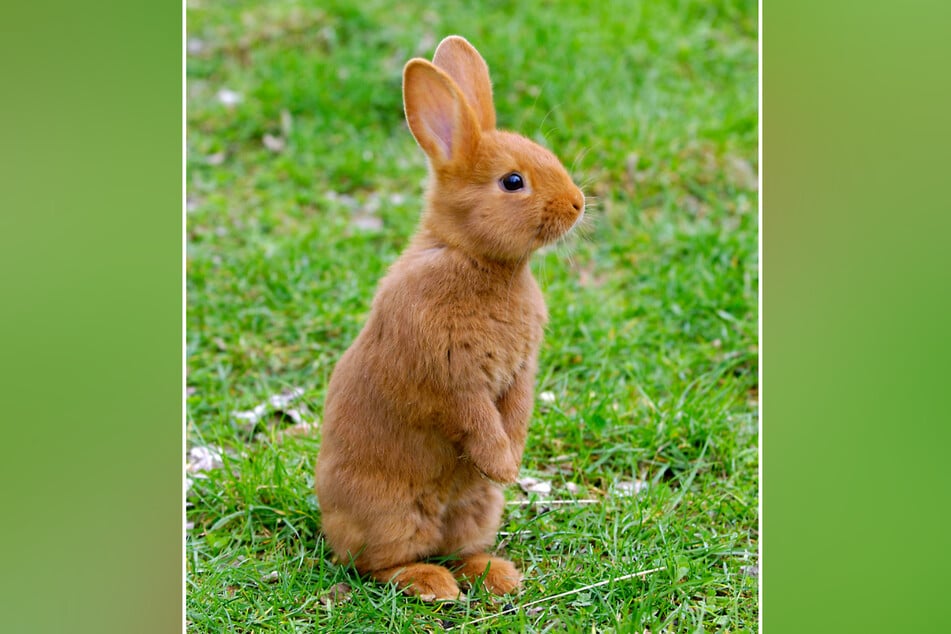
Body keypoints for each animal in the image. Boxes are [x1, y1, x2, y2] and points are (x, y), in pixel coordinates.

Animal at [316, 37, 584, 600]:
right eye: (512, 181)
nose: (577, 204)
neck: (475, 258)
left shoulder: (521, 370)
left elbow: (517, 408)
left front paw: (512, 461)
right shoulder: (448, 374)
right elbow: (473, 416)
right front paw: (504, 463)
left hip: (476, 509)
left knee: (459, 548)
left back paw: (496, 575)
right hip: (394, 514)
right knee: (377, 565)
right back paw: (431, 584)